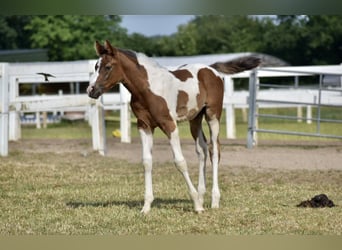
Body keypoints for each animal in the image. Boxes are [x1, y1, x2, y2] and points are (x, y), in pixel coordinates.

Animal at [87, 40, 260, 214]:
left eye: (108, 66)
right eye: (95, 66)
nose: (91, 90)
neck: (147, 89)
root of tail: (211, 69)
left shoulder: (169, 124)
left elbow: (180, 161)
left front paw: (197, 205)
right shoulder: (144, 125)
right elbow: (147, 162)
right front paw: (146, 207)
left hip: (213, 115)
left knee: (214, 150)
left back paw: (214, 200)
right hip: (195, 119)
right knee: (202, 149)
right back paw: (201, 195)